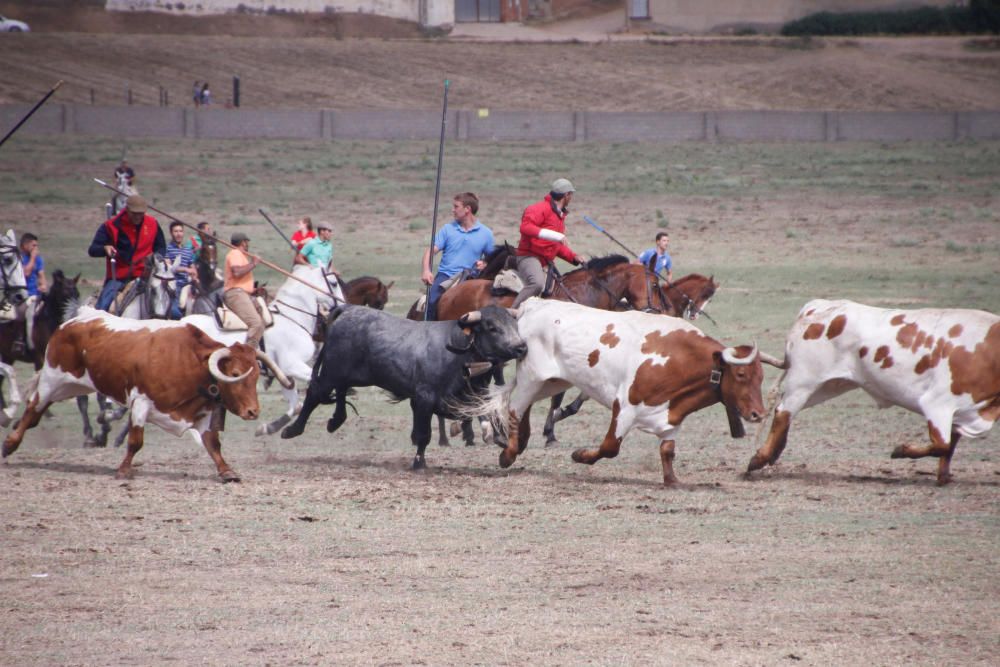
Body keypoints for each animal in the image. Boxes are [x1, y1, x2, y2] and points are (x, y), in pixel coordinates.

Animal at [1, 306, 290, 482]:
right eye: (236, 373)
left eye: (256, 376)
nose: (253, 411)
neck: (189, 363)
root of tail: (79, 317)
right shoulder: (141, 403)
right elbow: (135, 440)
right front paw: (124, 470)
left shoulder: (203, 413)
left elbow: (213, 444)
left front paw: (226, 471)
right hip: (53, 379)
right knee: (33, 409)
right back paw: (10, 443)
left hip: (72, 386)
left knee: (38, 412)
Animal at [184, 264, 344, 440]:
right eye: (334, 283)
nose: (343, 306)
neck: (292, 320)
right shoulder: (292, 366)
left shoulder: (284, 373)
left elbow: (295, 405)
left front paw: (267, 428)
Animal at [278, 306, 528, 468]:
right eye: (492, 327)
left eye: (515, 325)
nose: (521, 347)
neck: (458, 351)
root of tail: (349, 310)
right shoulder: (424, 398)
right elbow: (423, 435)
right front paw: (419, 462)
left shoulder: (475, 396)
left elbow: (490, 412)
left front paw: (502, 440)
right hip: (331, 371)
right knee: (315, 393)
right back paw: (293, 430)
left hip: (352, 375)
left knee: (341, 390)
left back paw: (335, 420)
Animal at [480, 298, 776, 486]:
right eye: (741, 375)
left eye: (761, 377)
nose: (758, 413)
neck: (680, 357)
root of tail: (534, 304)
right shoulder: (624, 408)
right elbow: (609, 447)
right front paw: (580, 455)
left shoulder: (671, 417)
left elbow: (667, 451)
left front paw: (672, 480)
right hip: (532, 377)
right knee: (515, 410)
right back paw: (508, 454)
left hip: (553, 382)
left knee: (526, 409)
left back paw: (520, 443)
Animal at [752, 298, 1000, 486]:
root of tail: (820, 306)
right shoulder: (938, 403)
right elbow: (942, 445)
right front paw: (901, 450)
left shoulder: (962, 411)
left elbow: (948, 446)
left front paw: (943, 476)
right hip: (804, 381)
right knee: (783, 412)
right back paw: (759, 458)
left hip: (828, 386)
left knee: (787, 412)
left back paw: (772, 454)